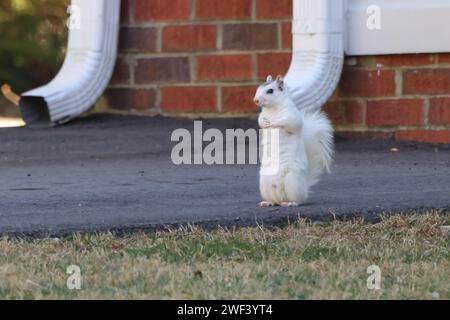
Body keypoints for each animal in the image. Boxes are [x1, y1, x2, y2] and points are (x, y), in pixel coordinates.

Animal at [253, 75, 334, 208]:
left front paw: (274, 122)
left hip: (292, 181)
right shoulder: (262, 115)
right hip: (265, 183)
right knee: (274, 200)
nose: (255, 100)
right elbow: (260, 121)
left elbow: (289, 122)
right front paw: (265, 123)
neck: (272, 109)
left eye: (270, 91)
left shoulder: (292, 115)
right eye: (258, 88)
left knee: (298, 199)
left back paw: (291, 203)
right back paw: (267, 202)